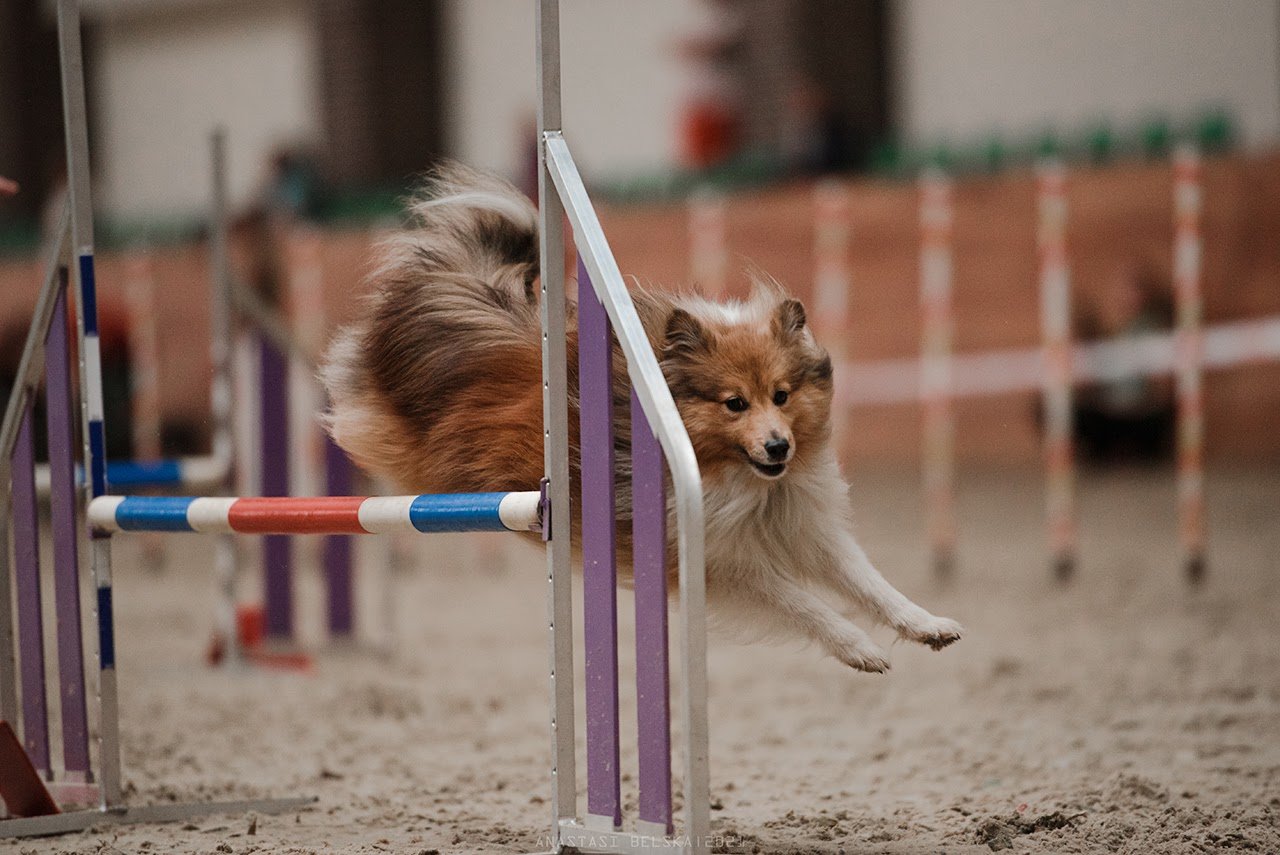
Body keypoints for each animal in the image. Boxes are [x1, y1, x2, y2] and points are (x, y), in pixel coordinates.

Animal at [320, 163, 962, 670]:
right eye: (735, 403)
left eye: (781, 395)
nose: (780, 447)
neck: (741, 480)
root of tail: (462, 297)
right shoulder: (710, 558)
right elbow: (802, 601)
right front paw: (860, 648)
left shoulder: (801, 524)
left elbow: (867, 580)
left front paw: (926, 625)